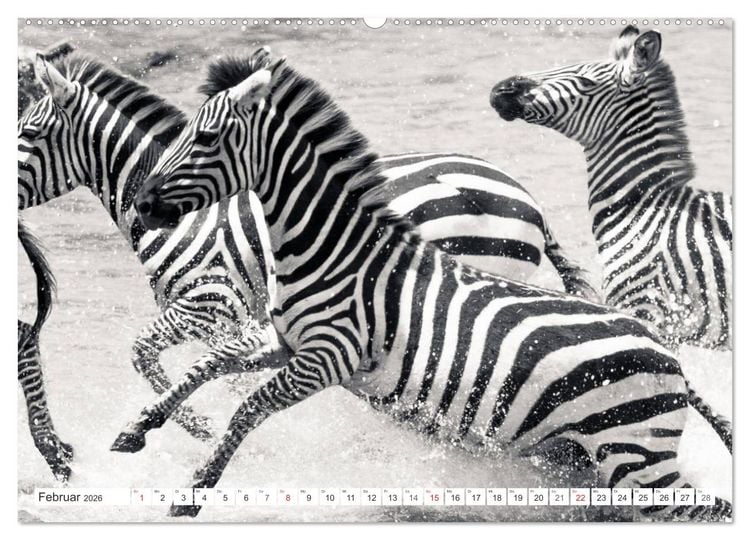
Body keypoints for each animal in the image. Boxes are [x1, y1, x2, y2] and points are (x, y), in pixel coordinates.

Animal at [19, 53, 595, 440]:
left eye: (27, 134)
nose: (146, 207)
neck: (192, 221)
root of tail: (528, 201)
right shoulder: (241, 322)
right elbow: (211, 372)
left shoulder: (211, 304)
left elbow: (142, 354)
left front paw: (196, 427)